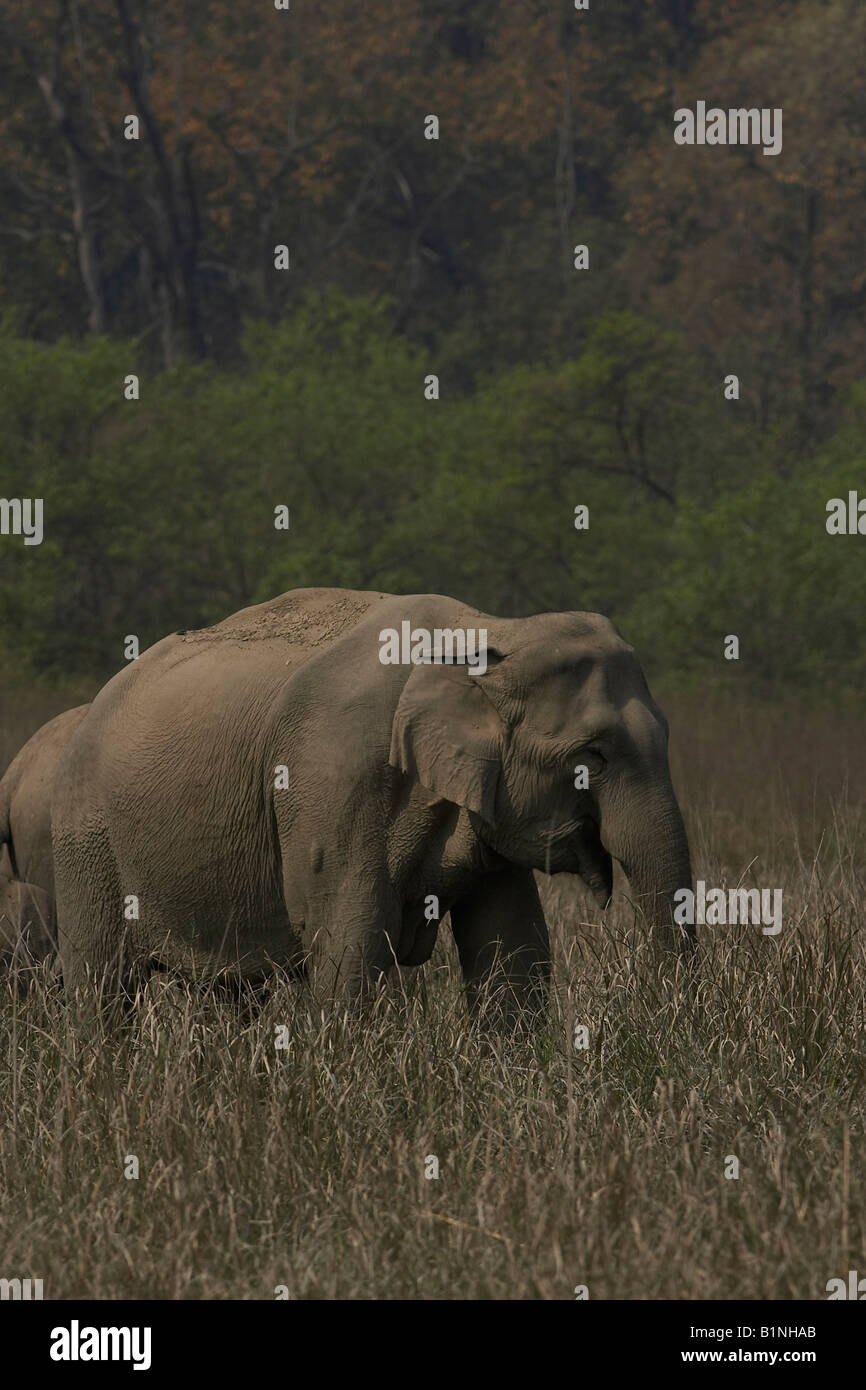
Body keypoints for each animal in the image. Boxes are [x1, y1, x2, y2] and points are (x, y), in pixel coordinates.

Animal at [52, 586, 692, 1011]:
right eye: (593, 756)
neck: (486, 632)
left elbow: (512, 947)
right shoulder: (334, 779)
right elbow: (349, 945)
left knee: (230, 990)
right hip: (86, 841)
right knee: (101, 984)